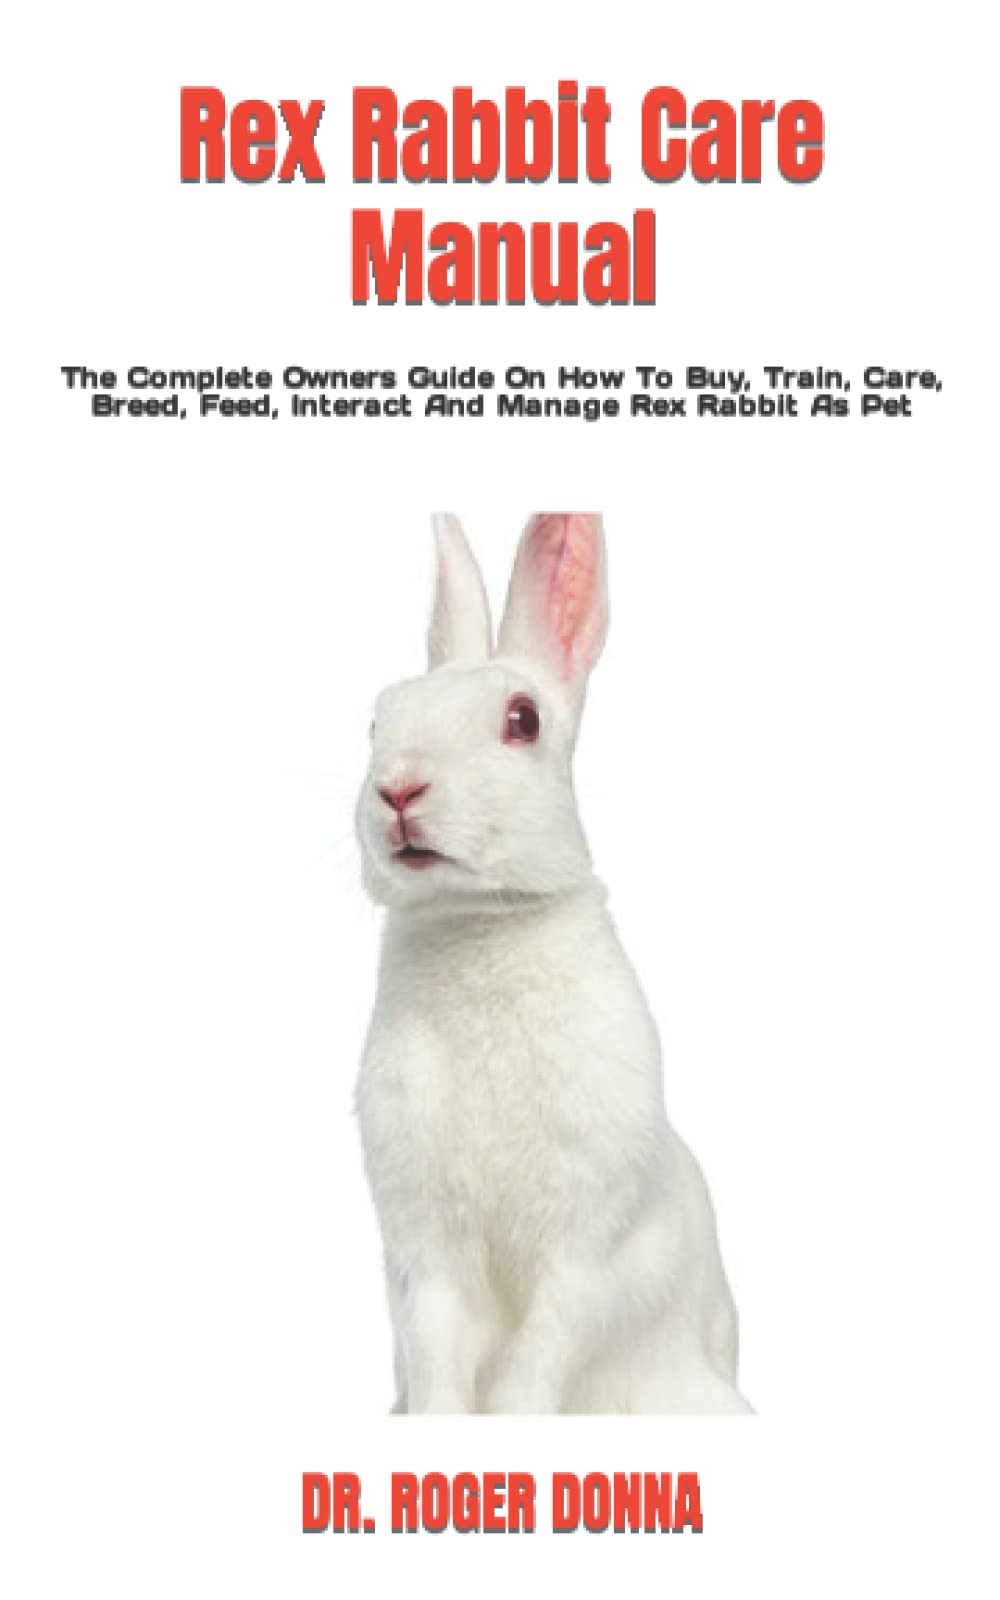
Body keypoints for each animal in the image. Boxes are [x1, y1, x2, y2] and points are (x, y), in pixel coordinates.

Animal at [354, 512, 751, 1414]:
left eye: (522, 719)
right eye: (375, 723)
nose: (400, 791)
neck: (479, 922)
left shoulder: (587, 1248)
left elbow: (539, 1354)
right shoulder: (425, 1254)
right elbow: (437, 1355)